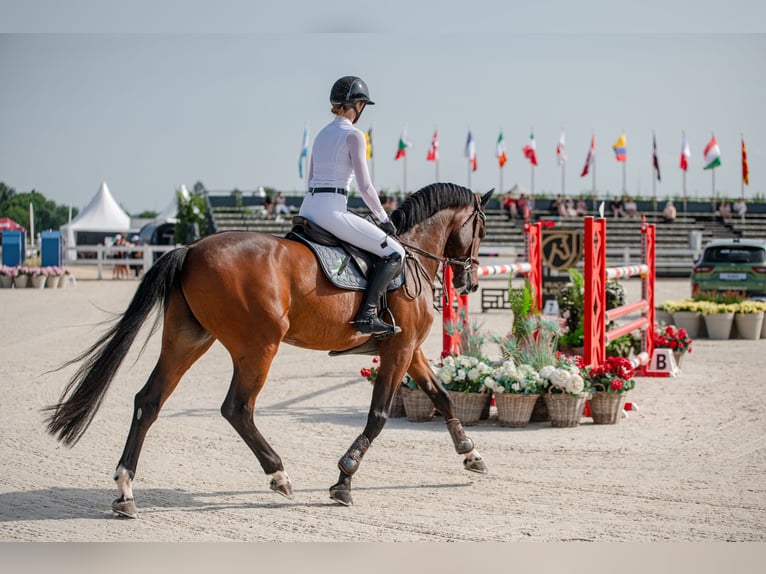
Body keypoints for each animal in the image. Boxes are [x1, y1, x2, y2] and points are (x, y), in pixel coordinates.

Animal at [45, 183, 496, 516]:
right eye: (482, 229)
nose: (471, 281)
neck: (411, 252)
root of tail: (190, 248)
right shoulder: (399, 350)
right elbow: (379, 416)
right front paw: (344, 480)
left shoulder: (409, 350)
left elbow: (442, 397)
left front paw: (471, 454)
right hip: (259, 345)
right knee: (237, 408)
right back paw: (278, 475)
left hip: (188, 340)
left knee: (148, 401)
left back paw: (126, 492)